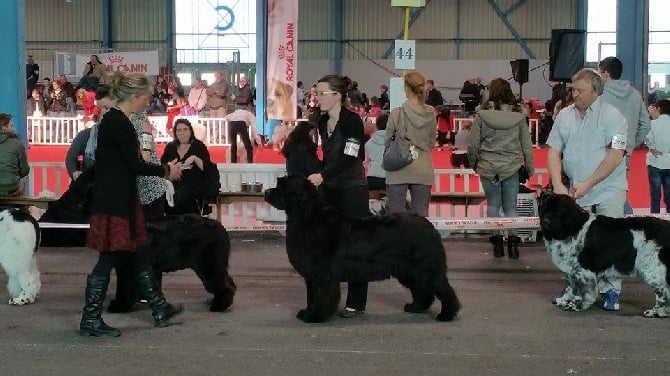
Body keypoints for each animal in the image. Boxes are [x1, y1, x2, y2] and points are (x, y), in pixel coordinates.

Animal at [39, 170, 238, 312]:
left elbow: (125, 287)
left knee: (223, 284)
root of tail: (220, 228)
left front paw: (119, 306)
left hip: (208, 264)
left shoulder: (127, 267)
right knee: (229, 282)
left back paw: (218, 306)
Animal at [262, 175, 462, 322]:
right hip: (409, 269)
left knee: (442, 288)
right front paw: (307, 312)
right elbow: (311, 296)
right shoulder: (312, 274)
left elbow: (320, 295)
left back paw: (446, 314)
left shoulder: (323, 274)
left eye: (282, 186)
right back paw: (415, 307)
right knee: (422, 289)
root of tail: (428, 224)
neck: (309, 217)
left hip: (425, 267)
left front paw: (316, 316)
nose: (266, 191)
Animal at [540, 191, 670, 318]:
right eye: (544, 209)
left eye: (558, 211)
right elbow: (570, 286)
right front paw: (564, 300)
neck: (573, 227)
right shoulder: (571, 268)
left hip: (652, 268)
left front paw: (577, 305)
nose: (546, 221)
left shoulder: (583, 269)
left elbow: (582, 289)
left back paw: (657, 312)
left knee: (664, 291)